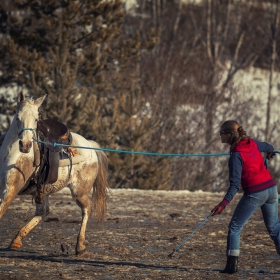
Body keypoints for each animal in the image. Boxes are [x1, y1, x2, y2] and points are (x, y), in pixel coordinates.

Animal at [0, 91, 109, 254]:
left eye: (36, 119)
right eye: (18, 117)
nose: (25, 145)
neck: (11, 154)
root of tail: (90, 146)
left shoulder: (10, 189)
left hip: (80, 192)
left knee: (87, 208)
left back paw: (80, 245)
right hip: (43, 190)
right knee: (43, 212)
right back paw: (16, 240)